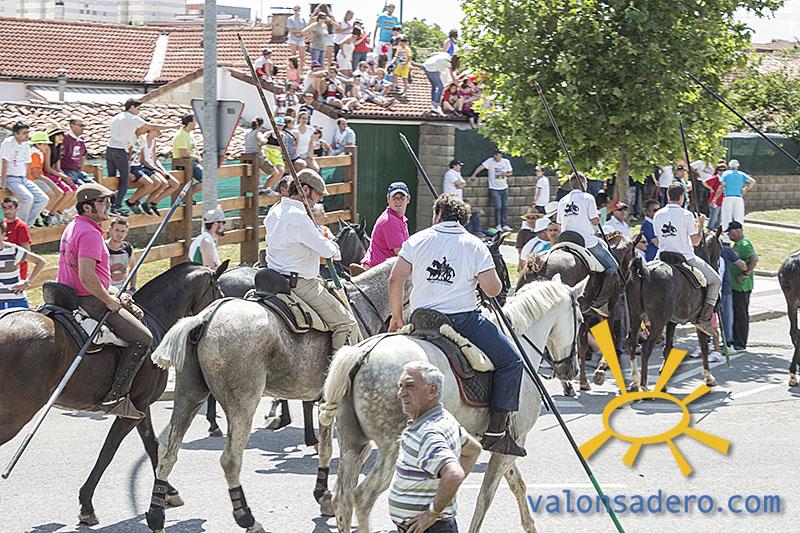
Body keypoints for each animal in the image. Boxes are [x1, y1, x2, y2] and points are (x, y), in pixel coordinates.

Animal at [0, 260, 228, 526]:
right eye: (218, 291)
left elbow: (151, 445)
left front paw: (169, 492)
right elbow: (108, 452)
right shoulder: (134, 409)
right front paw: (87, 505)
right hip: (15, 414)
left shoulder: (139, 407)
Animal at [144, 259, 407, 533]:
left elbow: (325, 448)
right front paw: (327, 495)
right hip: (242, 404)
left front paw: (322, 494)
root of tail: (205, 319)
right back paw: (247, 518)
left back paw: (157, 515)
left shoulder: (325, 401)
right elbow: (335, 449)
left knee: (167, 449)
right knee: (230, 460)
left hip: (189, 394)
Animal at [320, 278, 586, 533]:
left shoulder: (504, 445)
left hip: (353, 442)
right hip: (390, 448)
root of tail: (362, 353)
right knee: (362, 497)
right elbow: (486, 496)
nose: (571, 370)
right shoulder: (515, 441)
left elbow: (516, 484)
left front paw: (530, 525)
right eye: (581, 320)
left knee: (342, 499)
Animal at [516, 232, 637, 396]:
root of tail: (538, 265)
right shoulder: (606, 313)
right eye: (634, 254)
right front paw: (599, 371)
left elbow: (582, 346)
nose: (625, 284)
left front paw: (584, 381)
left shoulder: (584, 315)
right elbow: (608, 339)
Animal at [617, 229, 723, 390]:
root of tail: (643, 271)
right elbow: (704, 346)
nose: (718, 267)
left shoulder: (671, 322)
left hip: (636, 315)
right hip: (657, 322)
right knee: (646, 347)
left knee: (631, 342)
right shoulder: (698, 321)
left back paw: (635, 381)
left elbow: (668, 349)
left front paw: (663, 380)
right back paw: (644, 385)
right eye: (721, 247)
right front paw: (709, 377)